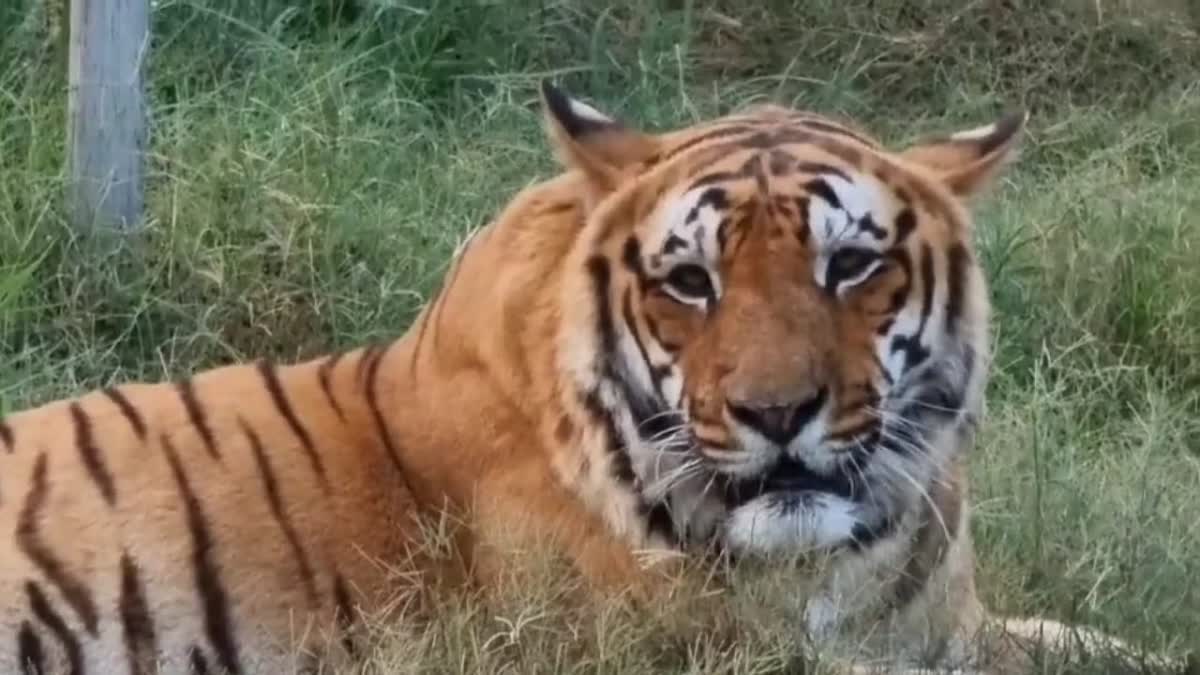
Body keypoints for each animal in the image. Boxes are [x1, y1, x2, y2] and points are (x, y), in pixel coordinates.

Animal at [0, 80, 1187, 675]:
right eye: (691, 282)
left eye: (849, 265)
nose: (776, 414)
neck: (848, 562)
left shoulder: (953, 628)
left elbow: (1115, 647)